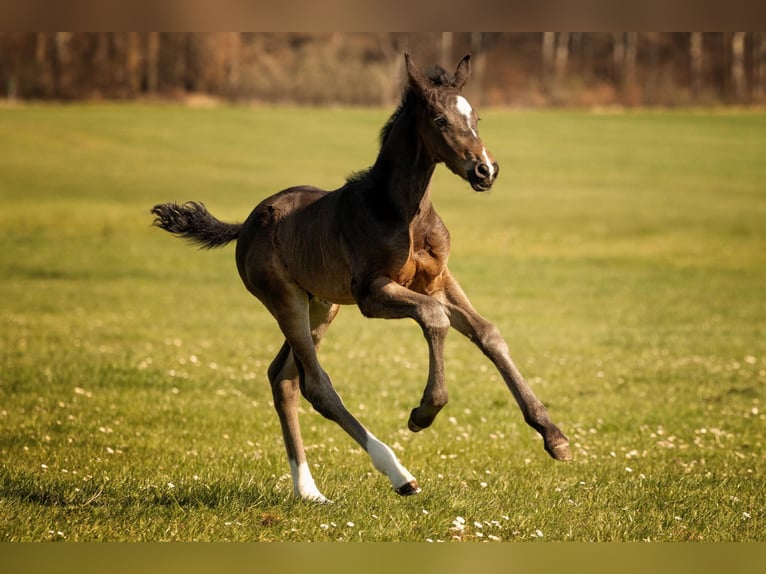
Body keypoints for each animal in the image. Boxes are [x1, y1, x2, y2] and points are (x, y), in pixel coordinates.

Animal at [151, 54, 571, 502]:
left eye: (476, 116)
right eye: (440, 119)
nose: (485, 170)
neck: (402, 213)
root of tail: (246, 223)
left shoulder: (439, 280)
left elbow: (488, 332)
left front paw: (554, 435)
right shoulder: (372, 292)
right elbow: (434, 318)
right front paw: (424, 412)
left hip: (322, 305)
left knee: (283, 378)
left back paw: (308, 490)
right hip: (285, 299)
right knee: (316, 384)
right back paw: (398, 474)